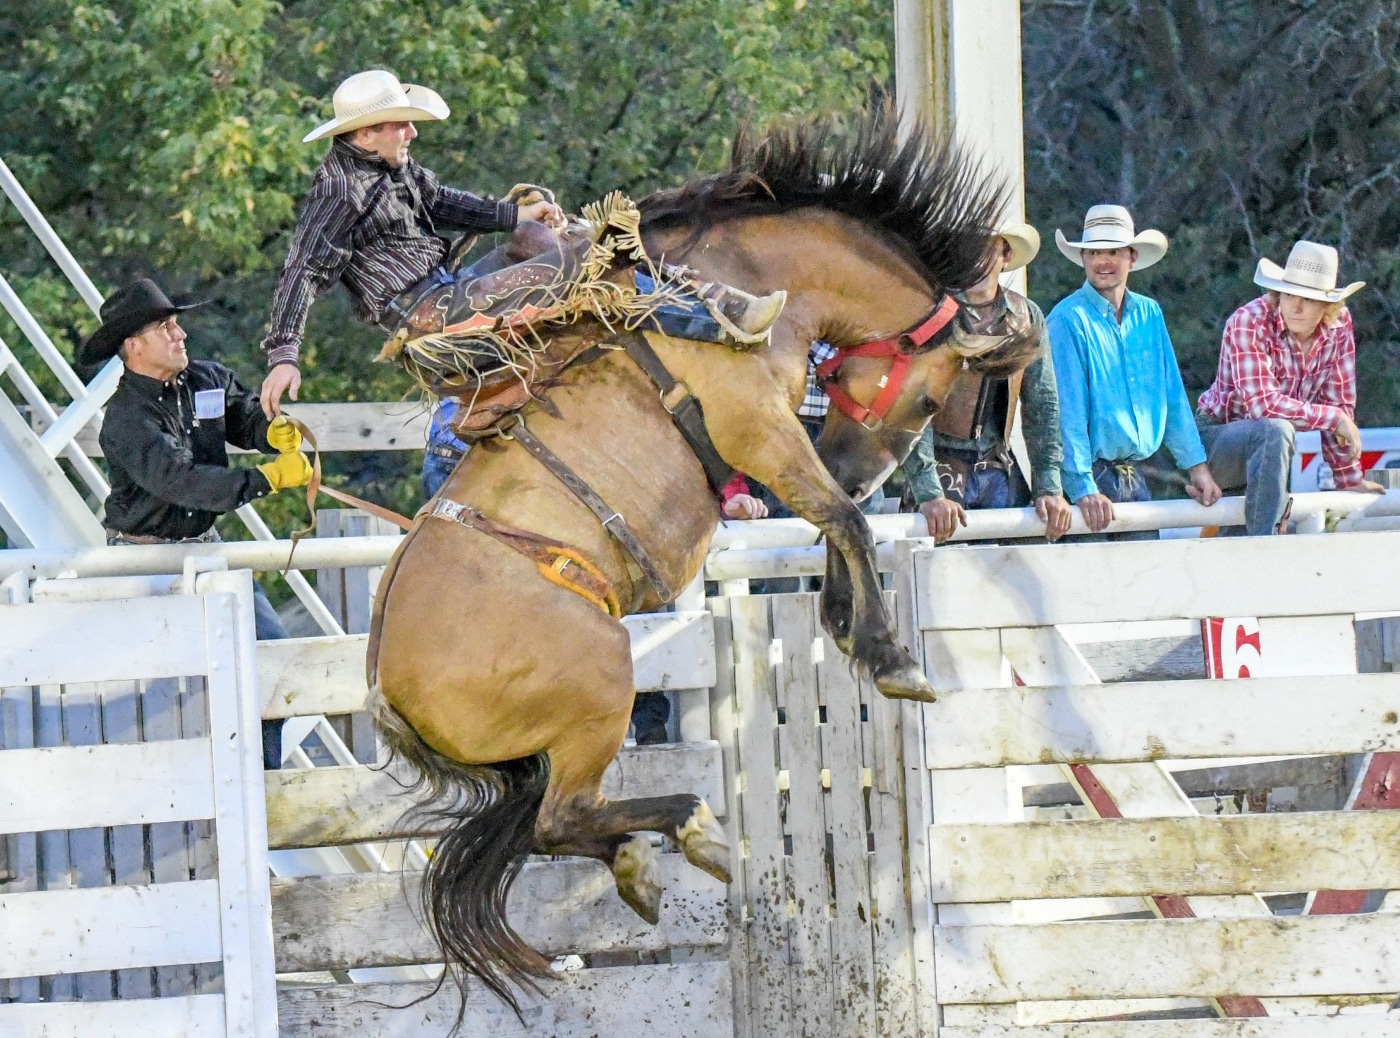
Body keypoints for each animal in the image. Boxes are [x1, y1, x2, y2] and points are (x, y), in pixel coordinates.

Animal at [366, 101, 1047, 1025]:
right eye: (934, 397)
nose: (869, 470)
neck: (746, 272)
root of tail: (387, 690)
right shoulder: (756, 425)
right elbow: (842, 517)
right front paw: (892, 657)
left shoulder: (776, 441)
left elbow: (833, 520)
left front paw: (844, 622)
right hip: (601, 683)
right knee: (561, 817)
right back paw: (698, 841)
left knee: (563, 821)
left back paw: (650, 864)